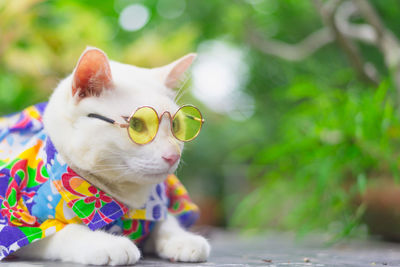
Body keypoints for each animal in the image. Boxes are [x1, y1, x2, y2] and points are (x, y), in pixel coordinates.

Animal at [6, 48, 211, 266]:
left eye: (175, 126)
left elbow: (165, 220)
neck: (127, 196)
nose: (173, 155)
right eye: (136, 125)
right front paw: (108, 244)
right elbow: (61, 231)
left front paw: (182, 239)